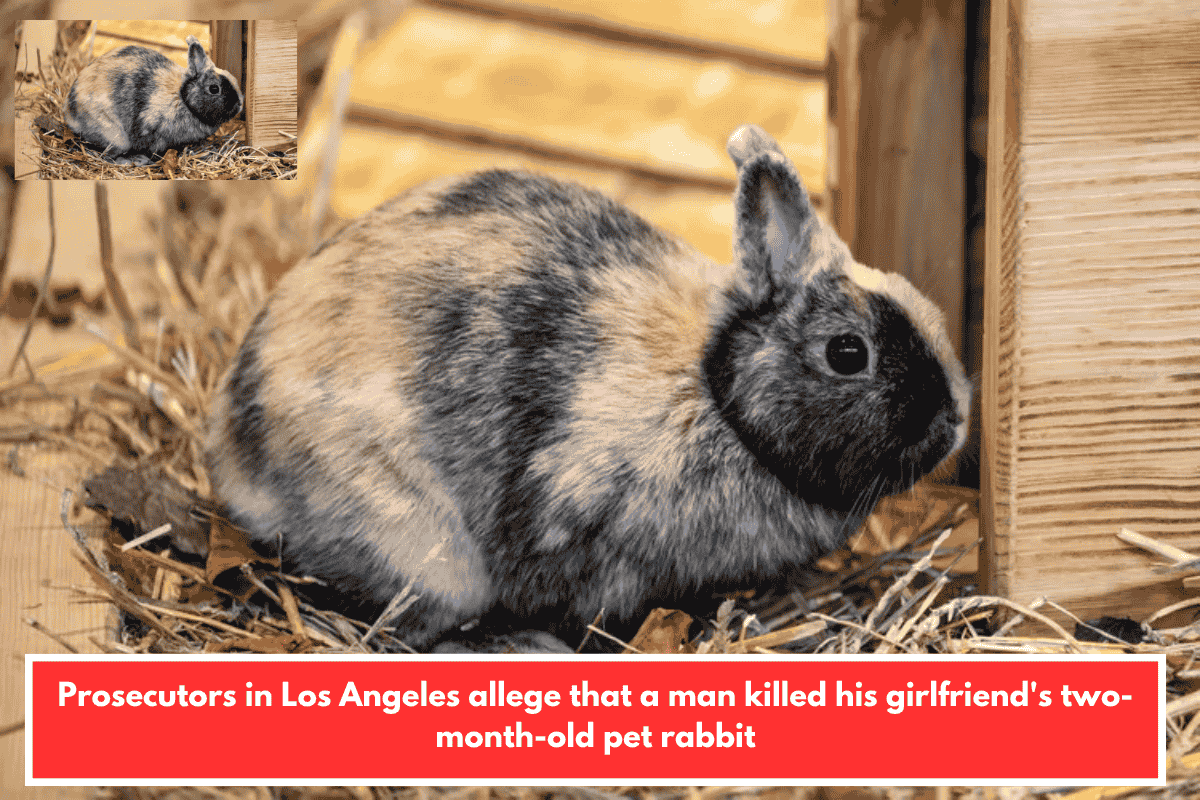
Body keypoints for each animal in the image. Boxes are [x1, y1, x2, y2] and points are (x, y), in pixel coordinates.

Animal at [63, 35, 242, 166]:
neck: (183, 98)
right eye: (214, 89)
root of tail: (71, 114)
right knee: (107, 156)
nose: (239, 105)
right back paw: (133, 161)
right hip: (116, 137)